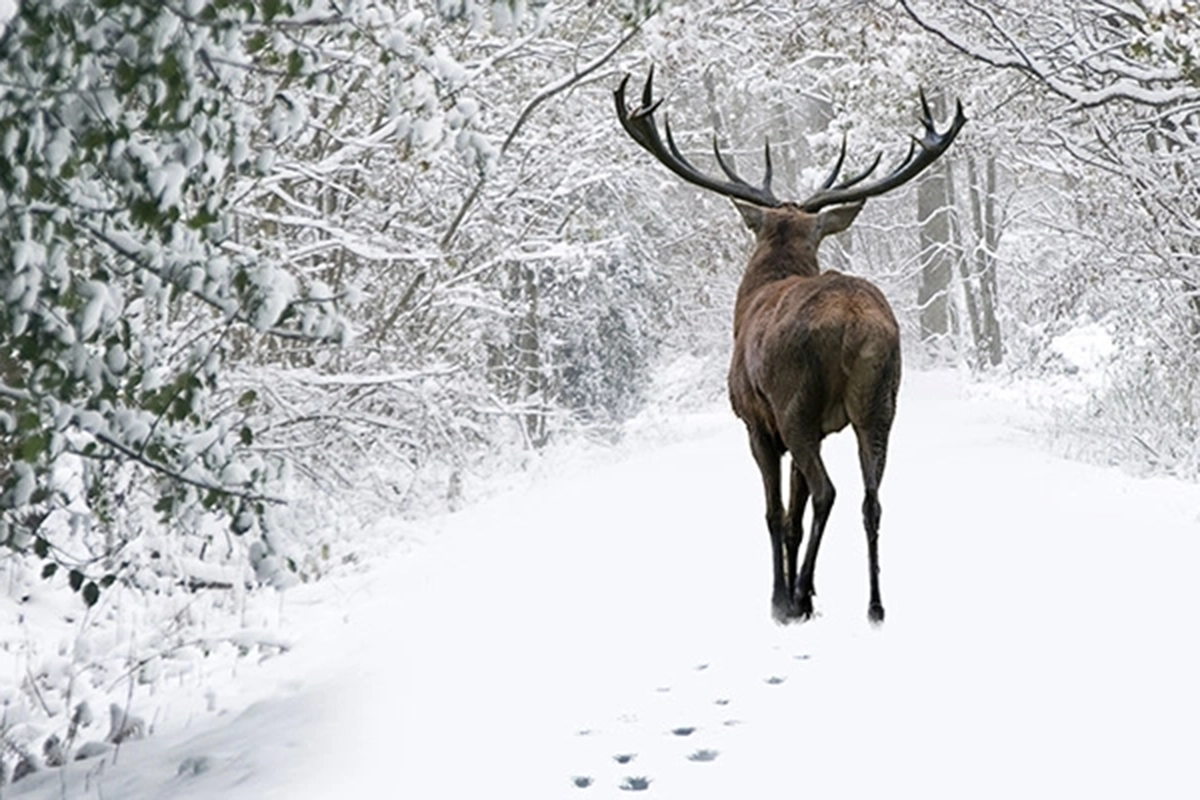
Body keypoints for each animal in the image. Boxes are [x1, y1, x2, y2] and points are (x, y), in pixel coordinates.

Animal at [614, 68, 960, 623]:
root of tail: (857, 325)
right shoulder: (818, 427)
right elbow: (794, 516)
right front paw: (810, 591)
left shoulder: (758, 421)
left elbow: (776, 513)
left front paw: (781, 596)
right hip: (880, 403)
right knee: (871, 498)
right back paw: (874, 606)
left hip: (796, 401)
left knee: (828, 491)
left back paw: (794, 596)